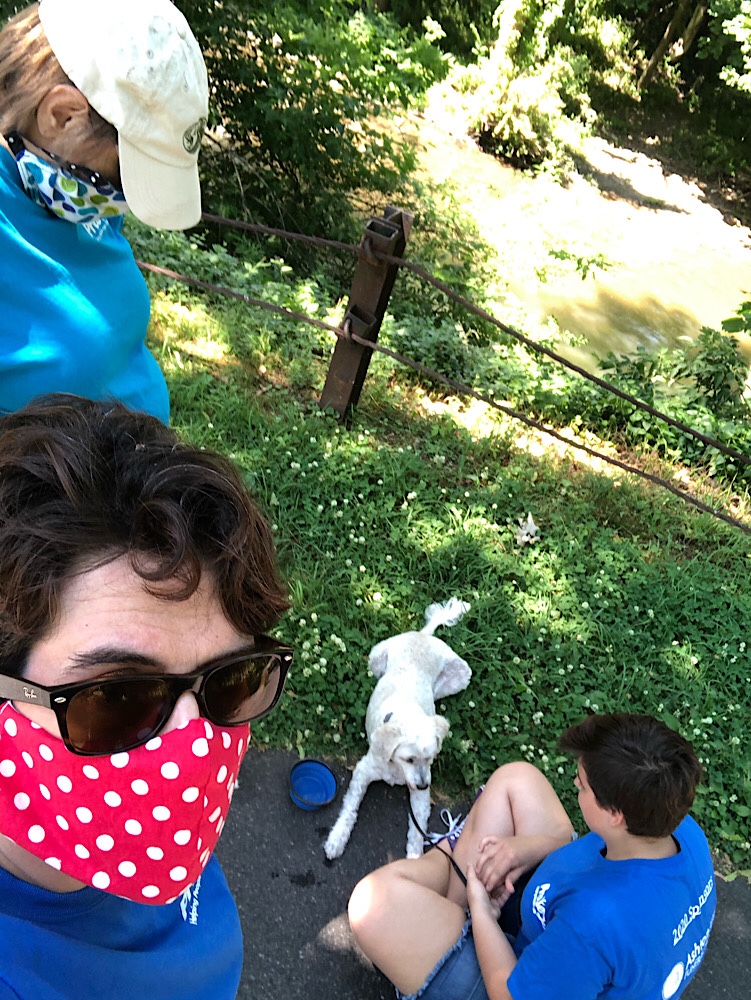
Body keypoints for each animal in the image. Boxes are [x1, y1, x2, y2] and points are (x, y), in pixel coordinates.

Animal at [323, 598, 471, 860]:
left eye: (430, 758)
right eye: (409, 759)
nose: (422, 784)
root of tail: (424, 635)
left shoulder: (421, 796)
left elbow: (417, 831)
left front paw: (414, 860)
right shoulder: (363, 771)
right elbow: (350, 808)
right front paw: (337, 838)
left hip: (461, 675)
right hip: (376, 657)